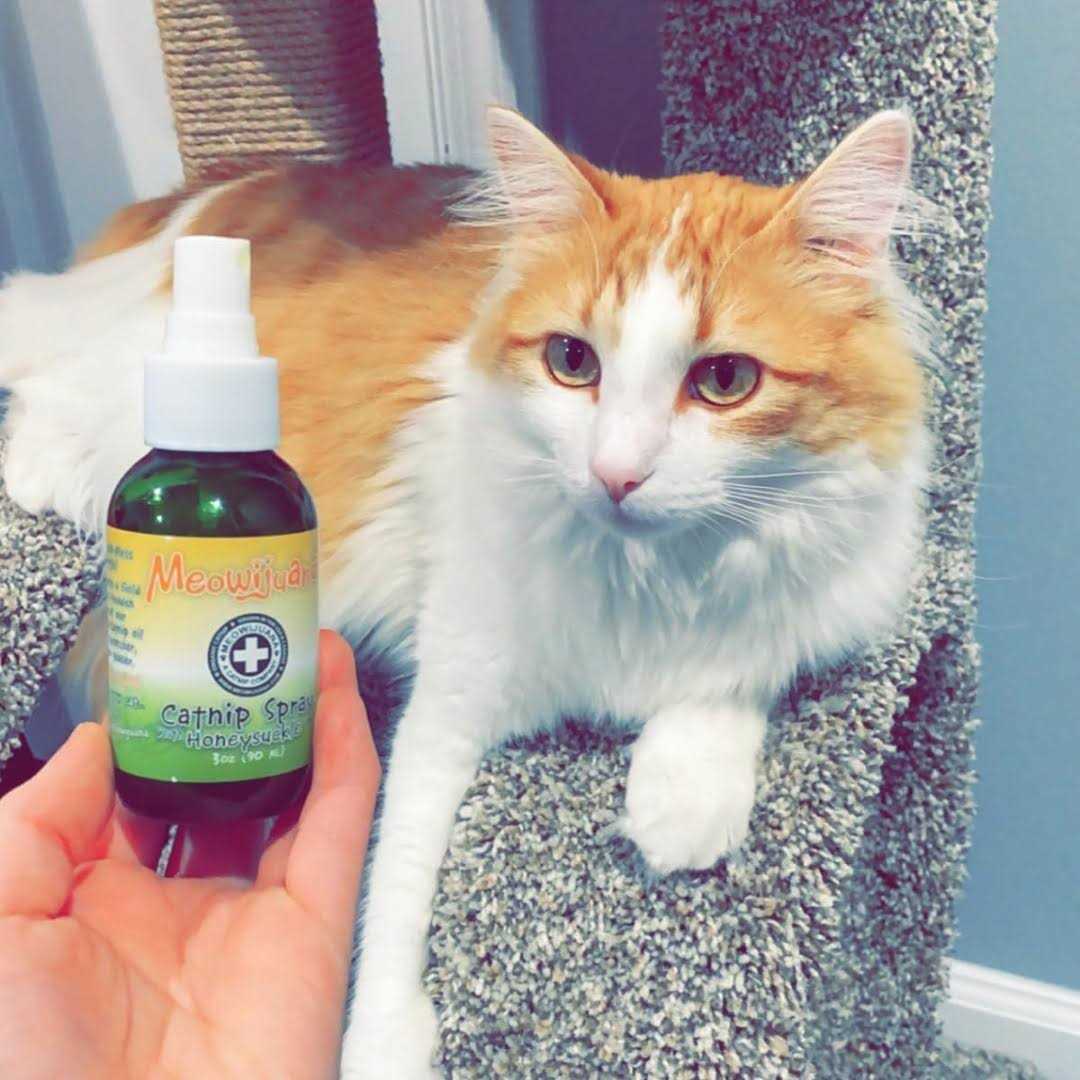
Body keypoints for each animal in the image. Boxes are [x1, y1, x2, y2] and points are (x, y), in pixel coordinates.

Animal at [0, 107, 930, 1078]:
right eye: (572, 362)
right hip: (122, 378)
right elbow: (396, 886)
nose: (616, 476)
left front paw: (681, 801)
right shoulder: (447, 705)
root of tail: (211, 194)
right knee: (45, 389)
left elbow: (732, 678)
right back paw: (44, 479)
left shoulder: (814, 599)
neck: (649, 577)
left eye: (725, 381)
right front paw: (381, 1041)